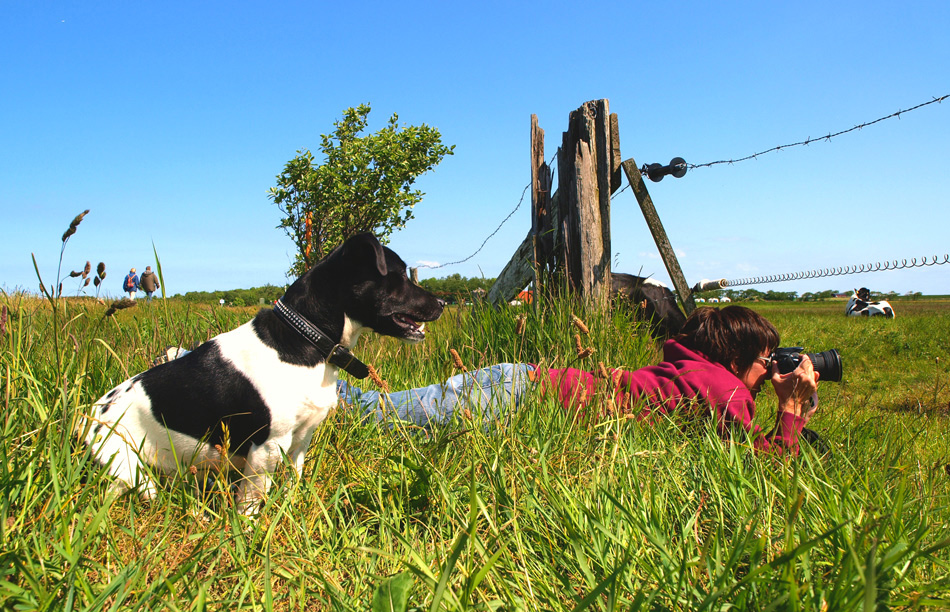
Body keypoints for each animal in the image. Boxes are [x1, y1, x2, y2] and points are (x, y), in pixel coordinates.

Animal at [83, 233, 444, 512]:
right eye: (399, 277)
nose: (443, 302)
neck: (306, 339)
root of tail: (86, 421)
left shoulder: (300, 441)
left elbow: (293, 481)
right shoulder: (267, 448)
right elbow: (251, 503)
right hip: (130, 472)